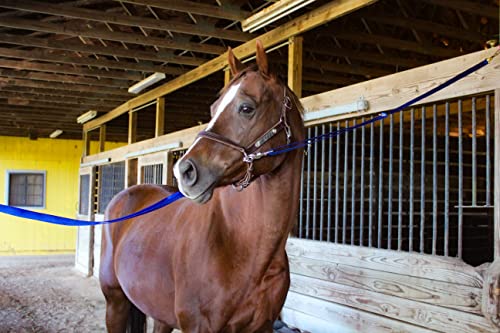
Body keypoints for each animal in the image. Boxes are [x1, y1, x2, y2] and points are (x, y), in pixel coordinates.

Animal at [98, 40, 304, 332]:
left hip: (160, 315)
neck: (244, 248)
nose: (184, 171)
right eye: (213, 108)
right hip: (115, 303)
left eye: (246, 108)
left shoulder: (263, 326)